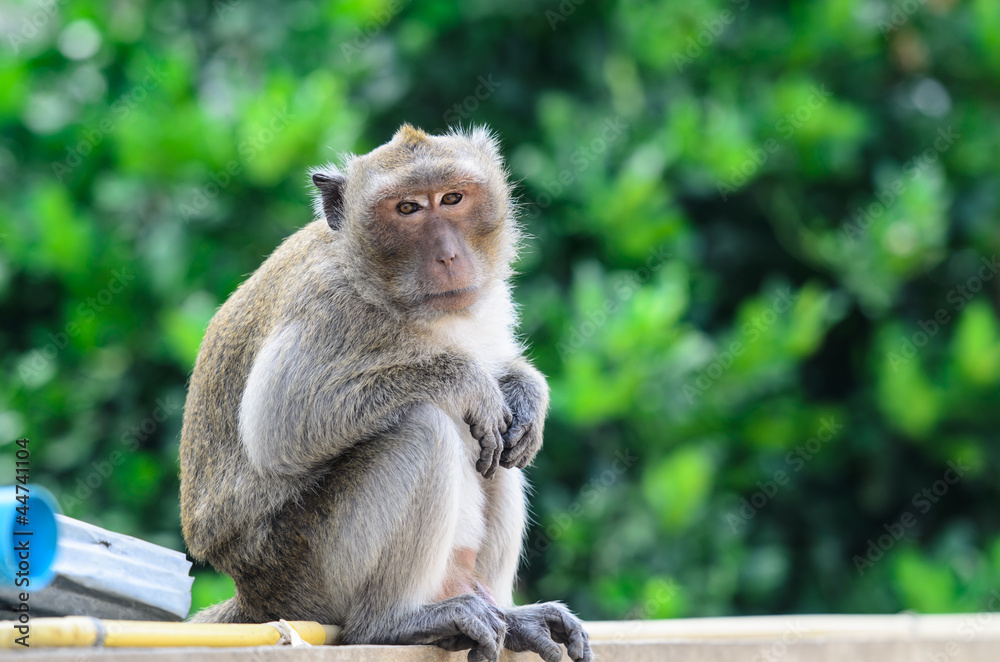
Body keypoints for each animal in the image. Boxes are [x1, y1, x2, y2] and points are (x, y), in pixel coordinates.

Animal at [178, 124, 592, 662]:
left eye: (452, 198)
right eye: (408, 209)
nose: (449, 255)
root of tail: (254, 595)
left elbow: (504, 401)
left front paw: (525, 392)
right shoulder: (329, 306)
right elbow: (281, 424)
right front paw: (463, 381)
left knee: (499, 451)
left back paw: (511, 616)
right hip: (309, 572)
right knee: (420, 427)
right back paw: (391, 621)